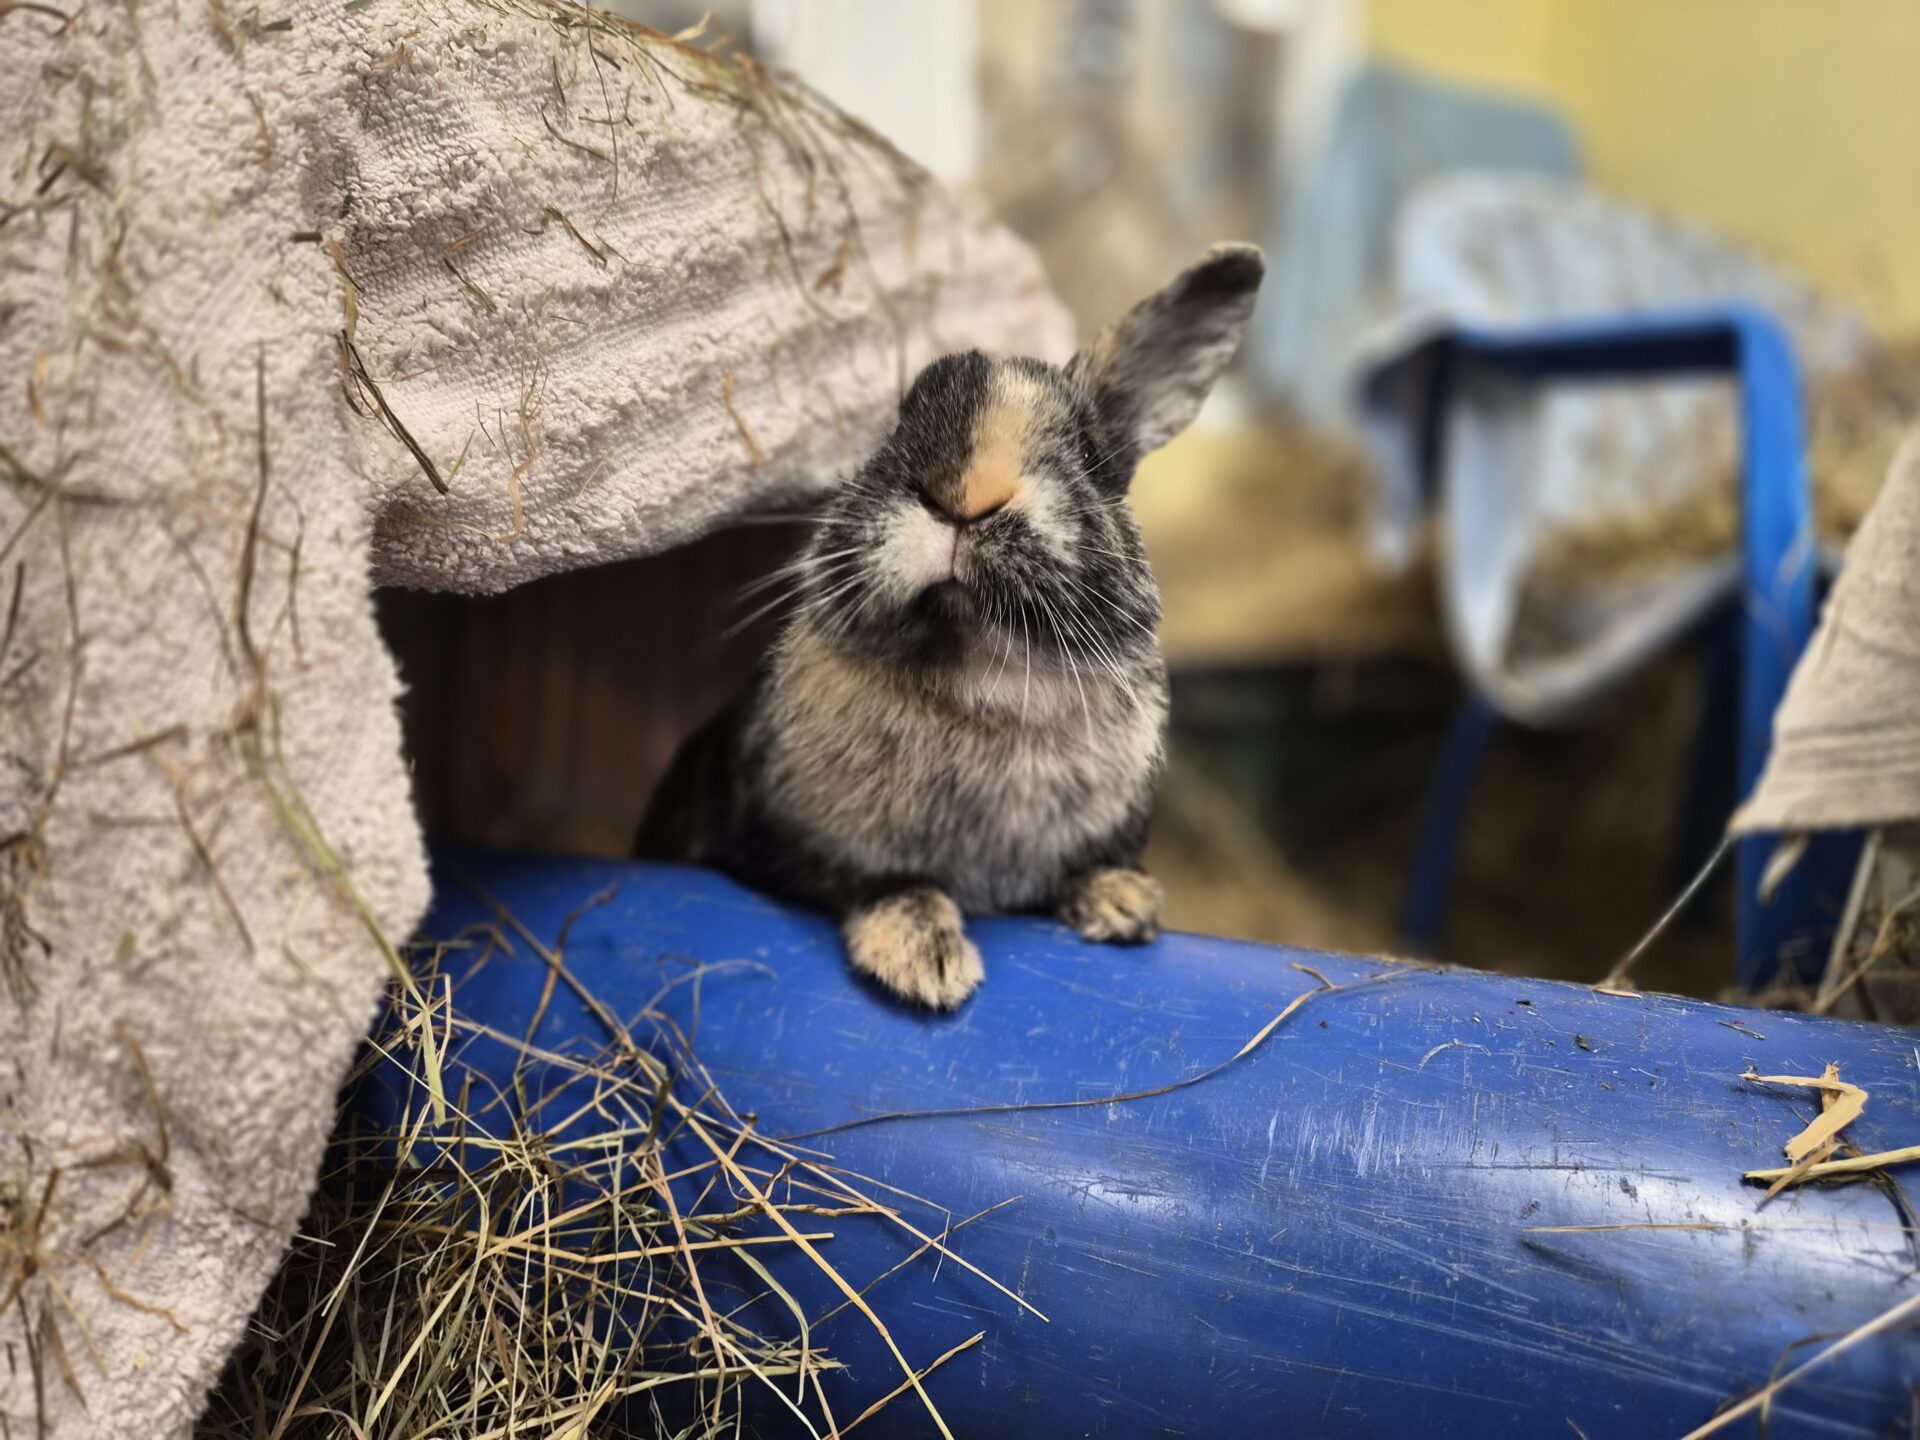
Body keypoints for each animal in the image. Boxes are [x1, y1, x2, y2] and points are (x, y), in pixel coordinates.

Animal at [637, 244, 1265, 1009]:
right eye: (897, 424)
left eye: (1092, 455)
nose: (963, 496)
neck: (981, 683)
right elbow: (893, 883)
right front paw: (926, 965)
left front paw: (1126, 905)